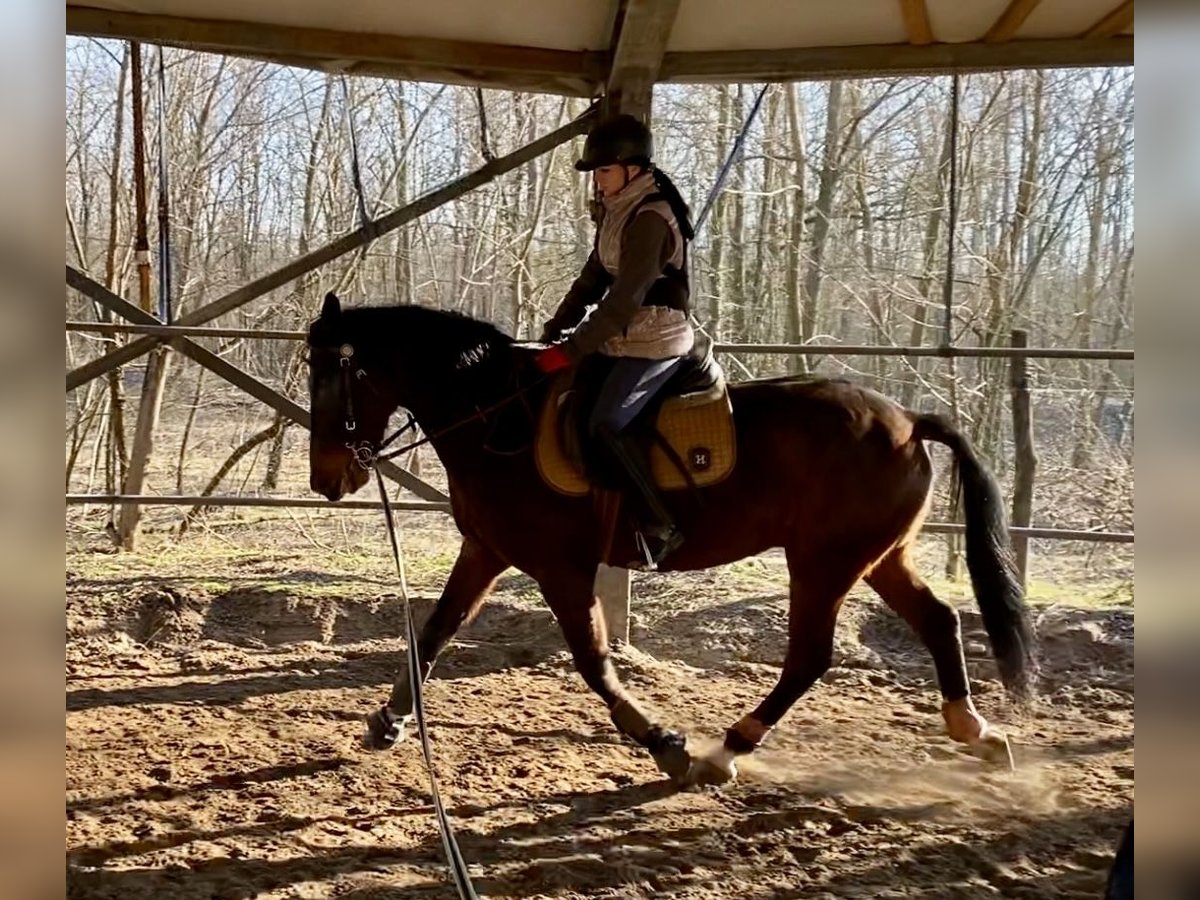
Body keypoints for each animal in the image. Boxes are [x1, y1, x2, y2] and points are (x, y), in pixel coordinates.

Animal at [304, 292, 1037, 786]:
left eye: (331, 378)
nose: (326, 479)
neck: (497, 419)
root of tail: (909, 420)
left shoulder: (560, 568)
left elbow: (594, 662)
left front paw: (663, 743)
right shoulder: (486, 551)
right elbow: (433, 632)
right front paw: (388, 721)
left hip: (824, 561)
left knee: (809, 657)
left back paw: (727, 749)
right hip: (877, 556)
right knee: (938, 621)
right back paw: (975, 731)